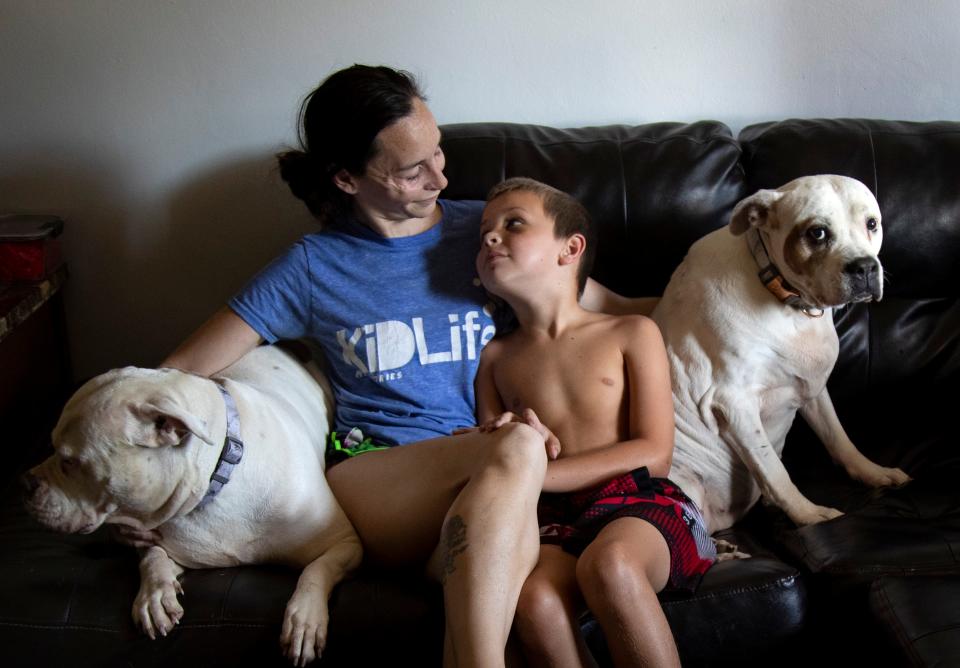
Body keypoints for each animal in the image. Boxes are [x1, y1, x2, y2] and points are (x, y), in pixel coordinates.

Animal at [22, 348, 362, 664]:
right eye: (50, 445)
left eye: (70, 461)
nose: (24, 483)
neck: (218, 478)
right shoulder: (172, 543)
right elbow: (151, 557)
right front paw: (154, 595)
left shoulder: (345, 543)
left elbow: (316, 569)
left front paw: (304, 619)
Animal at [648, 175, 912, 536]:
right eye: (817, 233)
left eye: (871, 223)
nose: (865, 267)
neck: (788, 303)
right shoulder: (734, 403)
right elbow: (775, 470)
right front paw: (809, 515)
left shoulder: (813, 388)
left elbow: (838, 438)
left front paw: (873, 472)